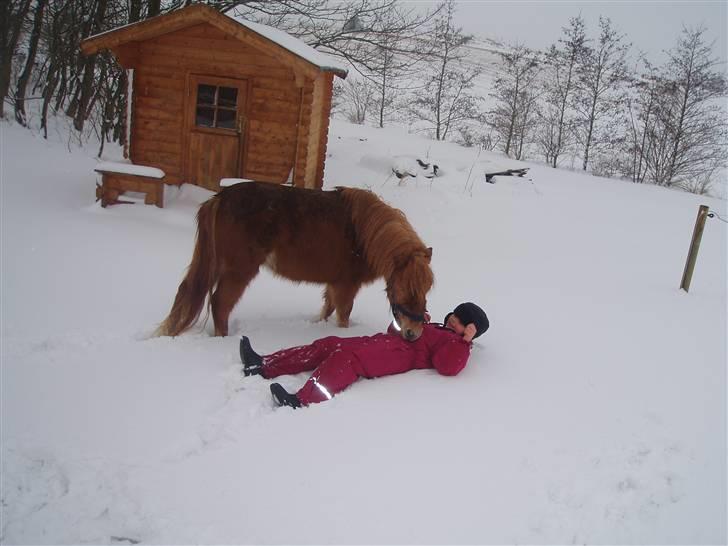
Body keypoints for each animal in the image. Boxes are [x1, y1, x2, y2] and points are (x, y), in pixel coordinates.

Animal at [155, 181, 432, 338]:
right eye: (405, 288)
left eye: (427, 289)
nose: (413, 333)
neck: (364, 233)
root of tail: (219, 198)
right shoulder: (346, 286)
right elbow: (343, 316)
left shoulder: (334, 284)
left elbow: (327, 308)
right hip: (238, 271)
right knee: (220, 303)